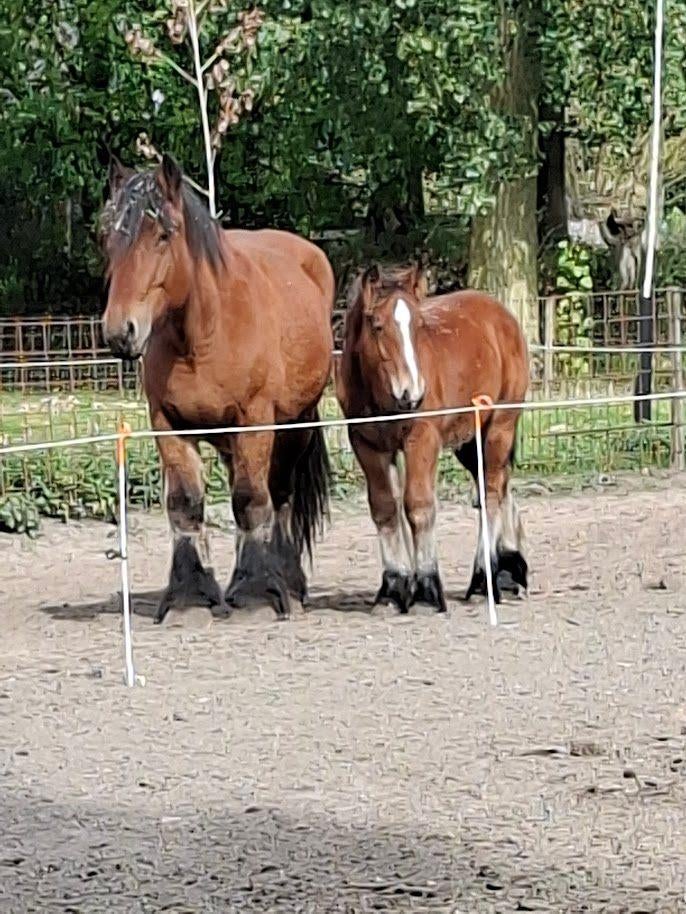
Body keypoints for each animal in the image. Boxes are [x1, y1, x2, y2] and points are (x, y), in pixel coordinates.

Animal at [100, 154, 334, 622]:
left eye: (164, 234)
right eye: (109, 237)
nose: (120, 332)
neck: (202, 336)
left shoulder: (255, 421)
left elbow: (252, 500)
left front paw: (257, 592)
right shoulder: (167, 424)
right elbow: (185, 504)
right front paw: (191, 594)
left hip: (293, 426)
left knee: (278, 495)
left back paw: (288, 583)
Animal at [335, 263, 529, 612]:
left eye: (420, 325)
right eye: (378, 326)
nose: (411, 394)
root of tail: (503, 316)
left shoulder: (422, 439)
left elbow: (418, 505)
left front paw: (426, 586)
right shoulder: (367, 445)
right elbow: (385, 509)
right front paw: (394, 586)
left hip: (500, 427)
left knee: (492, 491)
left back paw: (484, 578)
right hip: (469, 441)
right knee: (497, 487)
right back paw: (506, 572)